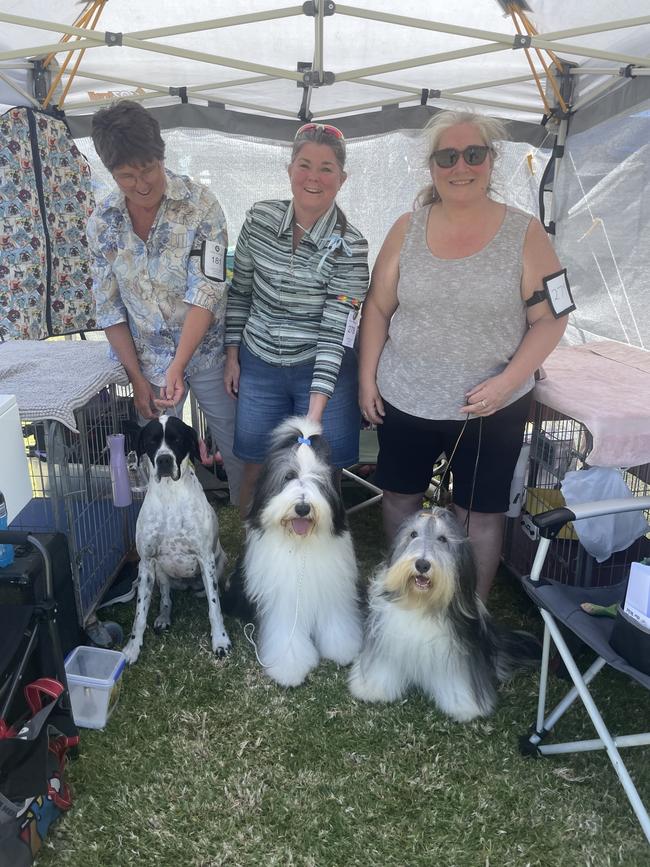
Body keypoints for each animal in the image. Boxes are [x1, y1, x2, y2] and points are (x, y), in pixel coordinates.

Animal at [122, 414, 230, 664]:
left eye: (177, 439)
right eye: (152, 441)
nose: (164, 460)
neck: (170, 494)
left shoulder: (205, 559)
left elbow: (214, 607)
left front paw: (220, 640)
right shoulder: (146, 563)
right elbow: (139, 615)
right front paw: (132, 648)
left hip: (220, 562)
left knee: (213, 592)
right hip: (160, 572)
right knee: (165, 599)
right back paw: (163, 617)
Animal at [227, 418, 360, 688]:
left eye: (317, 479)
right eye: (288, 476)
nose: (302, 507)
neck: (300, 545)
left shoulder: (332, 591)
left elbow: (337, 622)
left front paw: (342, 649)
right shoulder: (284, 602)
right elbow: (286, 636)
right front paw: (289, 668)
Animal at [346, 506, 540, 724]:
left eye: (442, 539)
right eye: (413, 534)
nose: (422, 565)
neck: (421, 602)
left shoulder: (460, 656)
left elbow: (459, 681)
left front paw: (464, 705)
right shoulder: (386, 642)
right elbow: (382, 667)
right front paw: (372, 689)